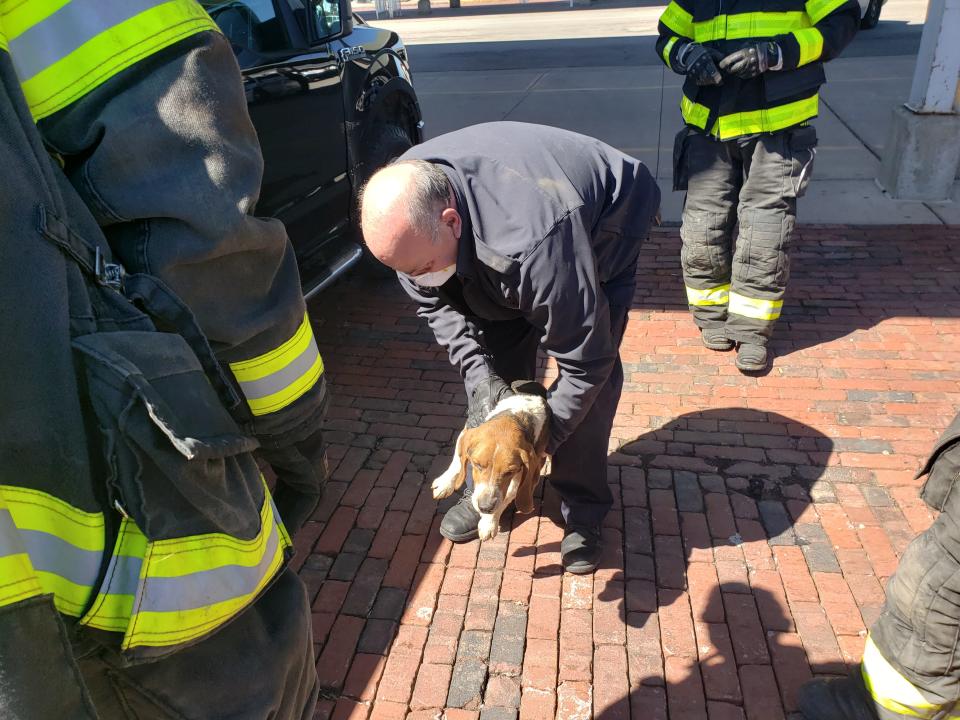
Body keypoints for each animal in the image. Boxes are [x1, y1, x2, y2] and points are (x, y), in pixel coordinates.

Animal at [432, 382, 552, 540]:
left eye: (510, 472)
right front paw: (445, 483)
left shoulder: (524, 472)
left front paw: (489, 522)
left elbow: (507, 496)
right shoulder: (468, 431)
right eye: (477, 464)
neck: (515, 416)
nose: (485, 507)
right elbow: (457, 460)